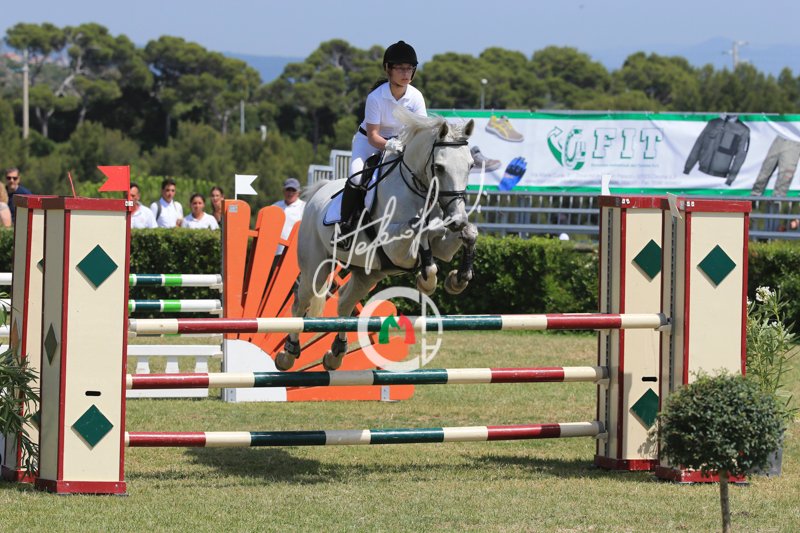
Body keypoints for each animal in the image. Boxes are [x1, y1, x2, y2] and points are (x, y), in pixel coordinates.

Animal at [276, 108, 478, 371]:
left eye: (471, 165)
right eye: (439, 167)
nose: (457, 219)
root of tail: (317, 194)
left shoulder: (443, 245)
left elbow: (469, 234)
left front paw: (458, 279)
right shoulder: (394, 246)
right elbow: (419, 229)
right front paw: (428, 281)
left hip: (368, 274)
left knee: (344, 302)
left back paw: (335, 354)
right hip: (315, 267)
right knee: (301, 302)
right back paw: (287, 354)